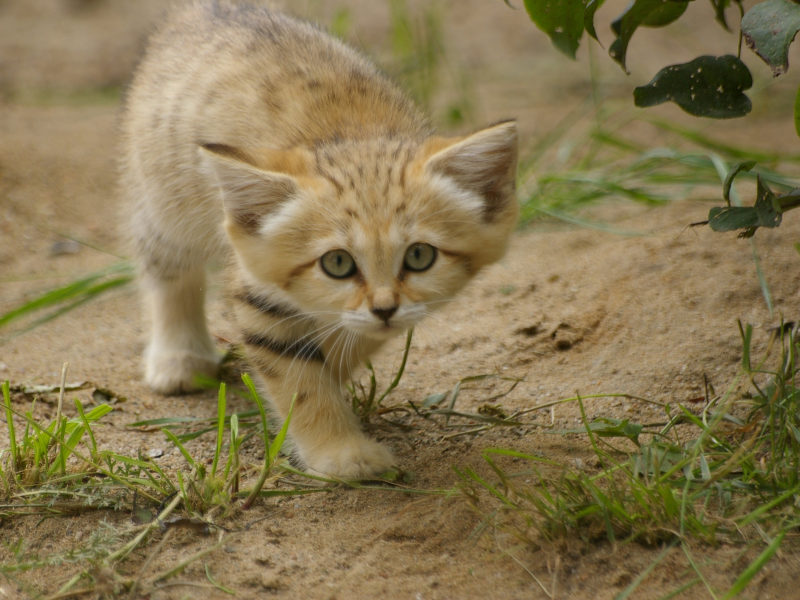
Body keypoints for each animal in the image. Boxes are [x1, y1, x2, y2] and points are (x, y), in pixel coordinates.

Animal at [119, 0, 520, 478]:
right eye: (338, 263)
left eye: (420, 256)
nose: (385, 308)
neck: (356, 134)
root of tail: (207, 9)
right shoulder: (259, 293)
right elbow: (301, 382)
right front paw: (342, 453)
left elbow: (346, 341)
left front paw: (338, 368)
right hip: (164, 199)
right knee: (167, 270)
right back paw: (179, 358)